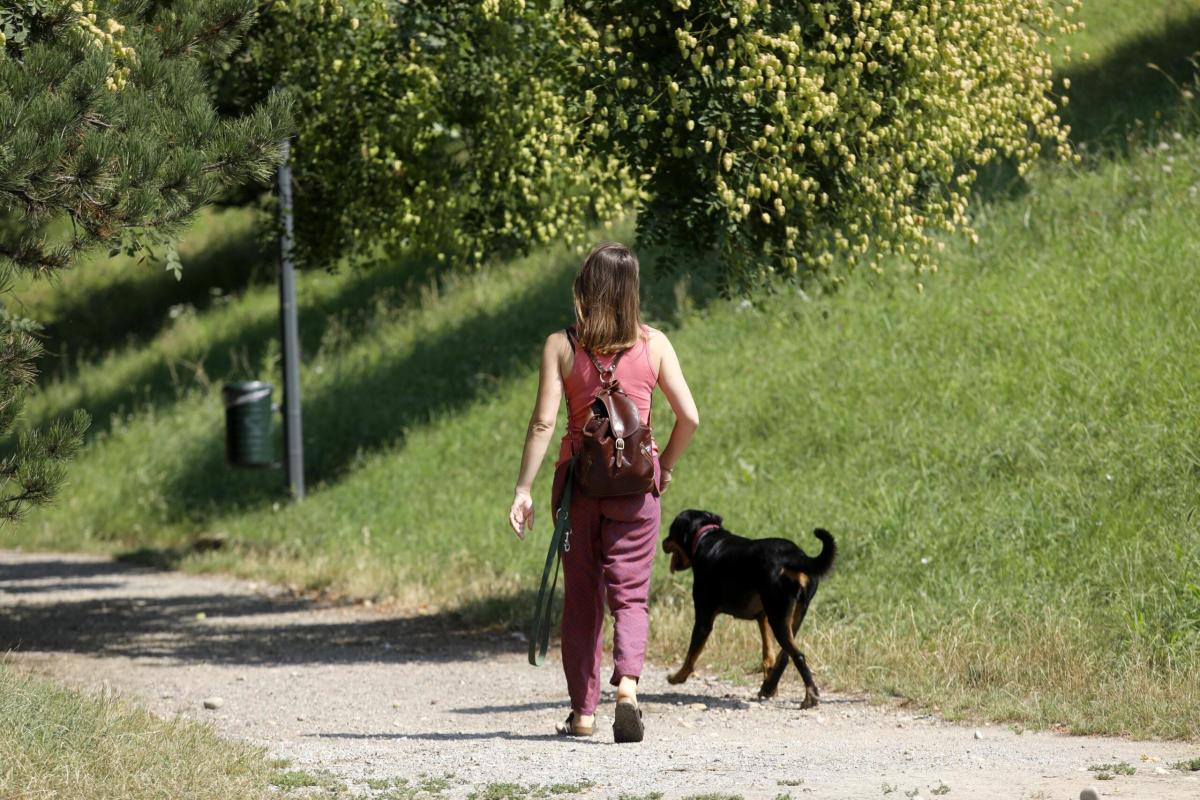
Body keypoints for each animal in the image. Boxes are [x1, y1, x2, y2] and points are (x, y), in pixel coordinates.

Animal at [667, 513, 835, 705]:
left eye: (670, 532)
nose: (663, 542)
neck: (705, 536)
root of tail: (794, 555)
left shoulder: (704, 619)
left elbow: (691, 656)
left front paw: (677, 677)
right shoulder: (763, 617)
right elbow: (768, 656)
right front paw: (770, 686)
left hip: (778, 616)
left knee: (798, 655)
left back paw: (809, 696)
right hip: (791, 616)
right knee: (785, 656)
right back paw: (769, 687)